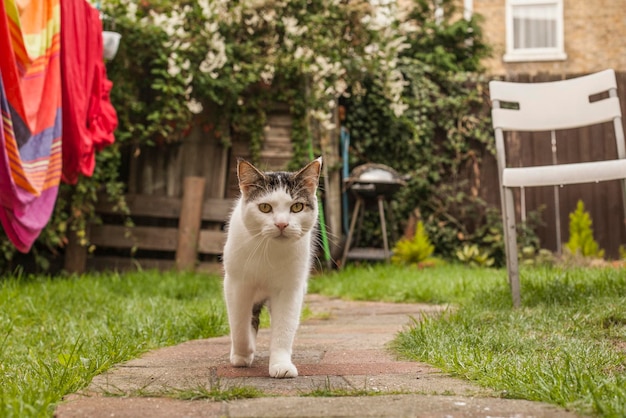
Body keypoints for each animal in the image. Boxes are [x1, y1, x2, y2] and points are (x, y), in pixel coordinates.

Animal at [223, 157, 322, 378]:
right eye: (265, 208)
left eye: (297, 207)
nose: (282, 224)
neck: (269, 252)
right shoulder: (236, 284)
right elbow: (239, 325)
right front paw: (243, 354)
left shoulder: (290, 289)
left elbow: (284, 328)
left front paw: (281, 365)